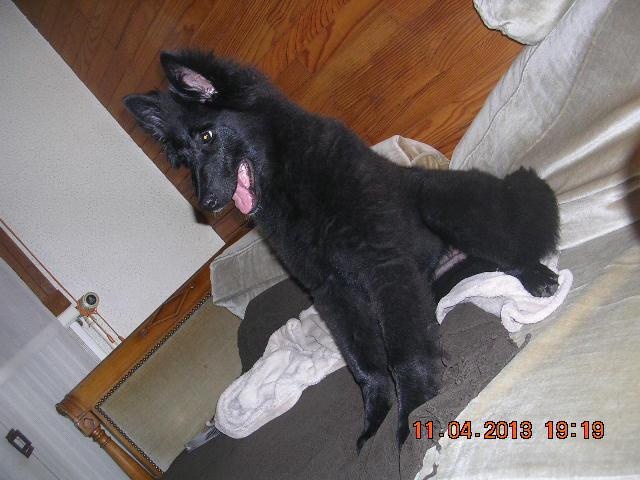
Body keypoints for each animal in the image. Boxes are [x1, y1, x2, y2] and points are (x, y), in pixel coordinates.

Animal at [125, 50, 559, 448]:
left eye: (206, 137)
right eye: (183, 159)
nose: (208, 204)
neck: (289, 181)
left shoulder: (383, 265)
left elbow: (402, 355)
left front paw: (414, 417)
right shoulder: (332, 291)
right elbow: (366, 366)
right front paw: (376, 419)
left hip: (440, 201)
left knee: (513, 248)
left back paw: (538, 277)